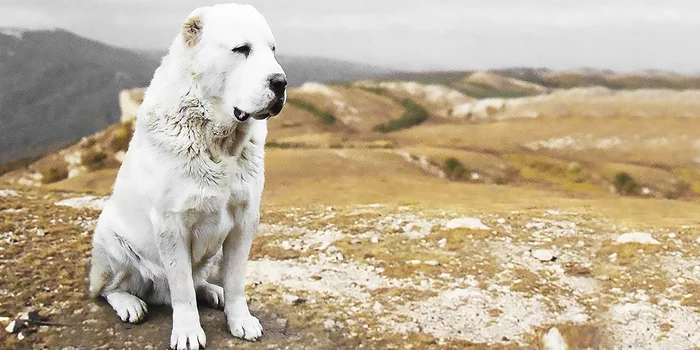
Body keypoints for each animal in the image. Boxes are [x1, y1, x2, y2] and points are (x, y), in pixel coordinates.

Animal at [89, 4, 286, 348]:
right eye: (241, 49)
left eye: (272, 50)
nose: (281, 82)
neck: (219, 143)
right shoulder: (172, 226)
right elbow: (181, 290)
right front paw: (187, 332)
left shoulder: (245, 220)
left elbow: (236, 280)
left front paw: (240, 319)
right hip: (111, 241)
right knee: (109, 290)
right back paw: (130, 304)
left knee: (197, 281)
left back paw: (212, 292)